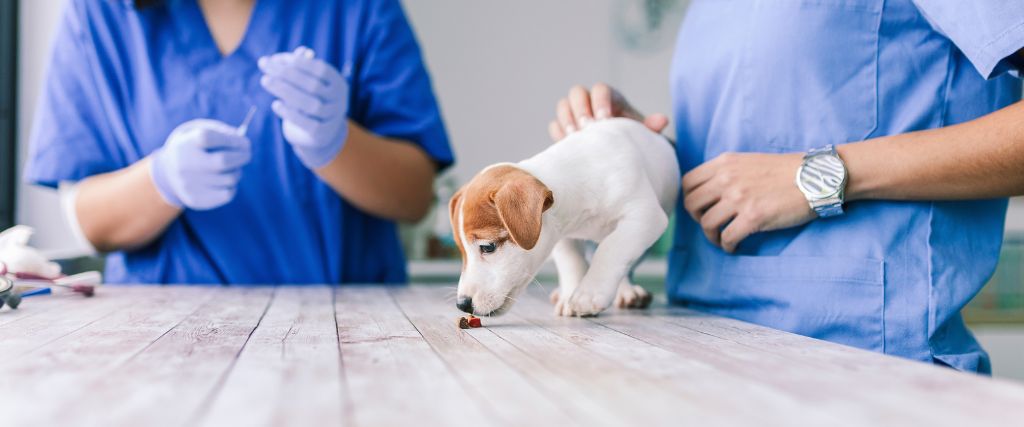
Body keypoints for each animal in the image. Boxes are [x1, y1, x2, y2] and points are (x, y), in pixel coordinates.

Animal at [448, 118, 679, 315]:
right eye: (461, 250)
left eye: (488, 247)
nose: (462, 305)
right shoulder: (561, 234)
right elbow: (572, 262)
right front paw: (570, 295)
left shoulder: (644, 215)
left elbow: (611, 249)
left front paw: (588, 293)